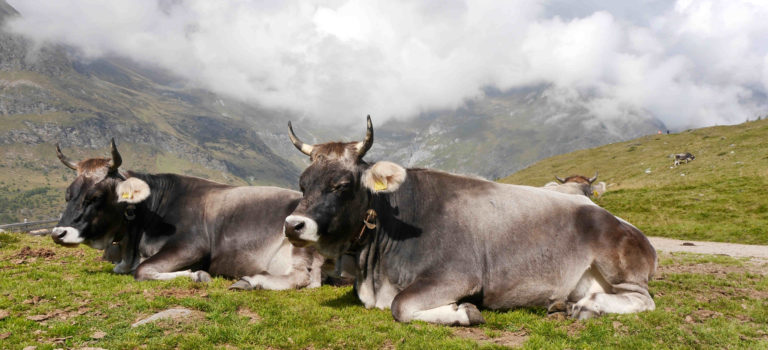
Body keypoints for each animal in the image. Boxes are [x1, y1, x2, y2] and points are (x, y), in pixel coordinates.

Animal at [51, 139, 324, 290]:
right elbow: (125, 269)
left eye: (95, 197)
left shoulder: (192, 246)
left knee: (301, 277)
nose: (58, 233)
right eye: (68, 194)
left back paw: (248, 281)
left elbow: (142, 271)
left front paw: (198, 275)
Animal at [280, 117, 656, 326]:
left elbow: (401, 306)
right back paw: (564, 303)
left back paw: (588, 307)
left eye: (341, 185)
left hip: (617, 264)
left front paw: (463, 313)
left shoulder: (458, 275)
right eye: (303, 183)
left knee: (643, 300)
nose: (293, 225)